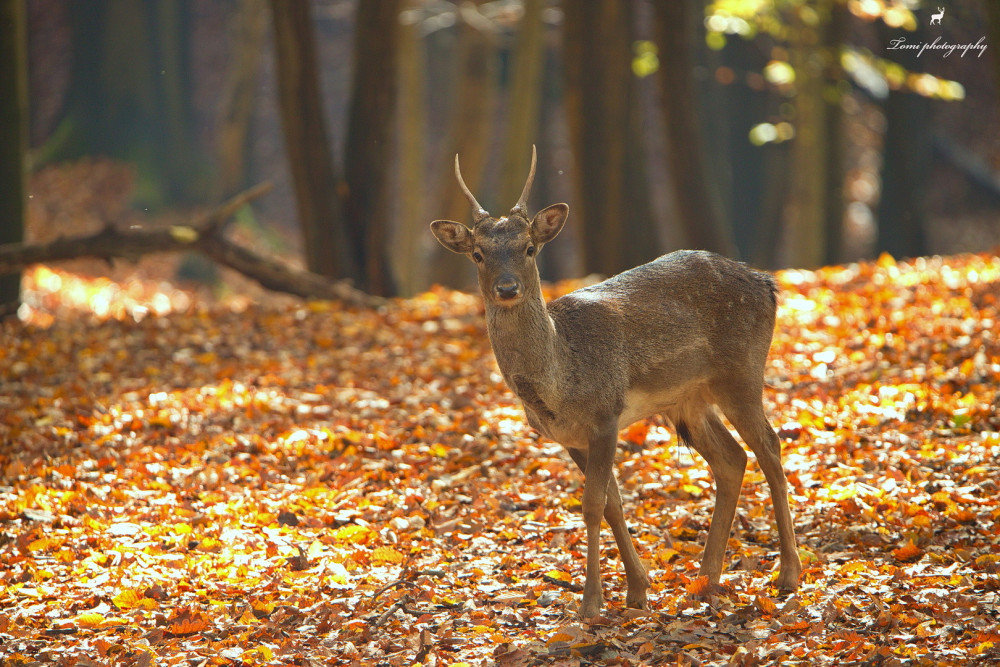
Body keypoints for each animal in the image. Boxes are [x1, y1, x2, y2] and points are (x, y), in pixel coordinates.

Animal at [426, 147, 800, 620]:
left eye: (529, 248)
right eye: (477, 254)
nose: (507, 288)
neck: (559, 384)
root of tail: (769, 284)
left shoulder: (605, 415)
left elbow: (590, 507)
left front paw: (591, 603)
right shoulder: (570, 437)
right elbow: (611, 504)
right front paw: (638, 592)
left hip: (742, 371)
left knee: (770, 447)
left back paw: (788, 575)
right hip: (687, 399)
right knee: (732, 459)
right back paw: (704, 581)